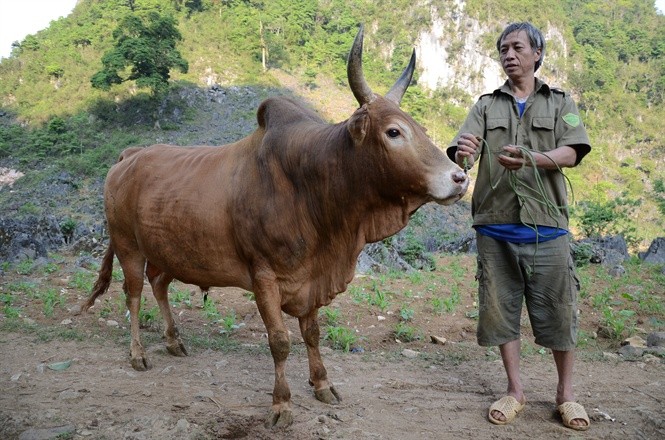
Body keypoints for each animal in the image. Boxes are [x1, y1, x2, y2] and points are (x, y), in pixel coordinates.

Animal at [79, 25, 466, 428]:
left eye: (420, 128)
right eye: (393, 132)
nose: (459, 178)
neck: (312, 186)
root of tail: (129, 156)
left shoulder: (311, 276)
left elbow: (312, 333)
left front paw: (322, 384)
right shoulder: (263, 277)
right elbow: (280, 342)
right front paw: (282, 404)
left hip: (168, 251)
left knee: (158, 285)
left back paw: (173, 341)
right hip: (128, 246)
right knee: (133, 294)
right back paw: (138, 354)